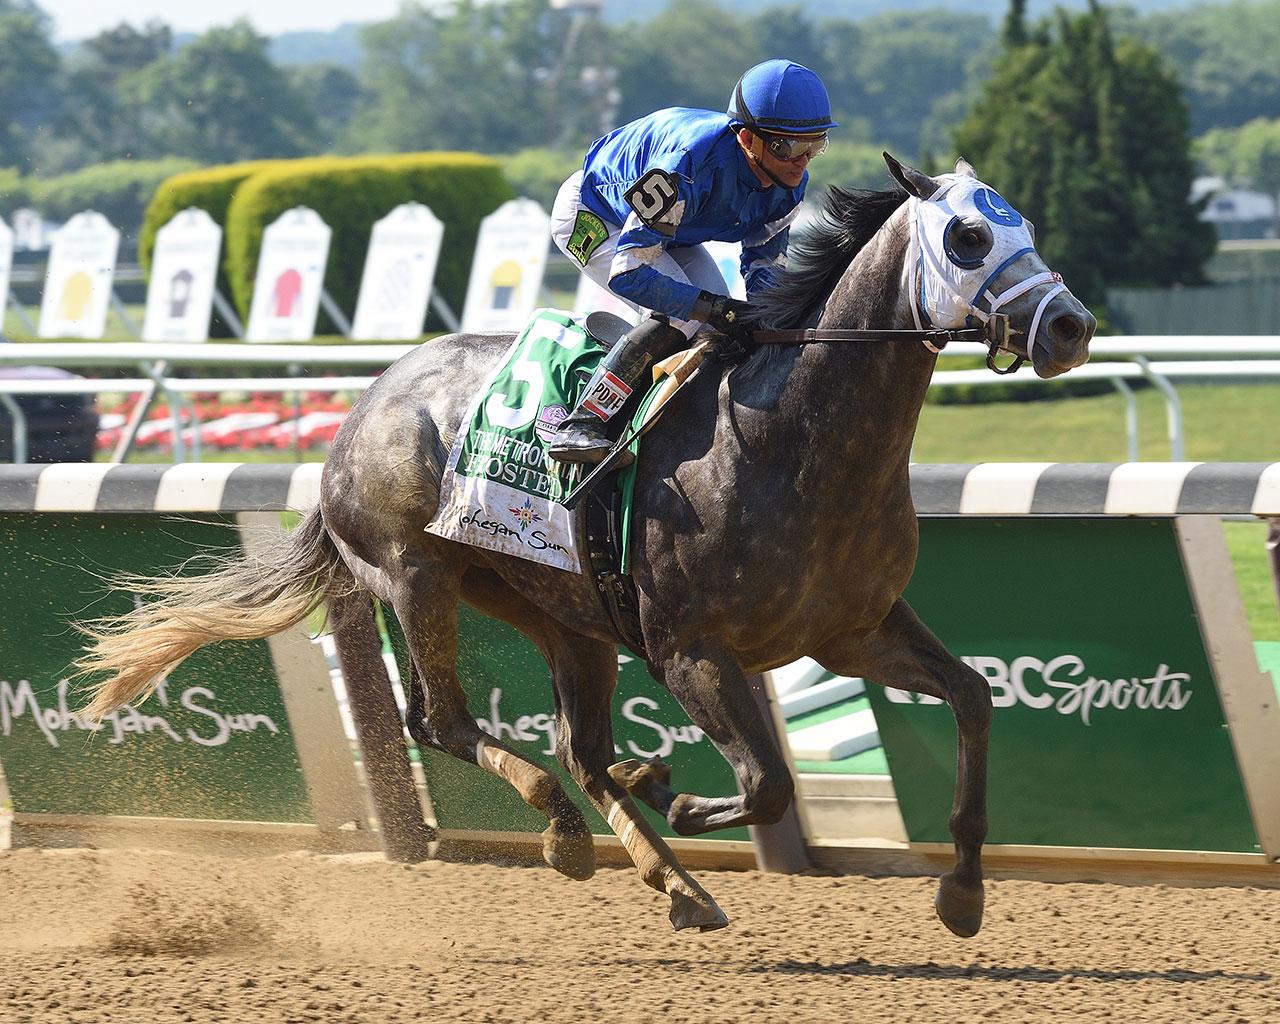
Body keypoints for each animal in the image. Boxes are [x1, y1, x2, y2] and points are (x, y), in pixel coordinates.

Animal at [80, 158, 1095, 936]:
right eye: (967, 237)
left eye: (1020, 224)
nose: (1070, 326)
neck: (789, 442)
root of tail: (358, 413)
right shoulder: (691, 651)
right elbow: (768, 783)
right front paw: (681, 795)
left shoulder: (853, 629)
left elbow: (972, 699)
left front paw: (962, 893)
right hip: (417, 575)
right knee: (441, 724)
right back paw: (573, 835)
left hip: (561, 612)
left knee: (579, 745)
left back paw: (675, 881)